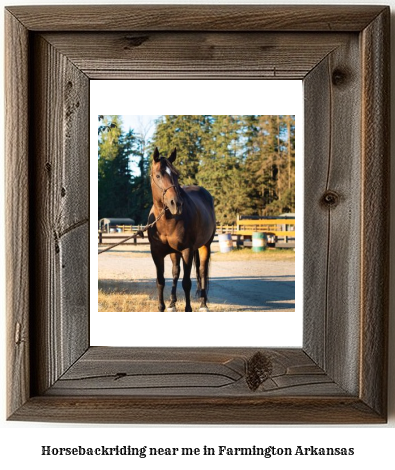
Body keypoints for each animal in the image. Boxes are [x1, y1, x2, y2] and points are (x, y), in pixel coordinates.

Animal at [148, 147, 217, 312]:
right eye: (158, 175)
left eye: (176, 174)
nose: (177, 204)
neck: (166, 221)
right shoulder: (156, 253)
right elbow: (161, 281)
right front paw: (161, 307)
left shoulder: (187, 250)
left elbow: (186, 282)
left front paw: (188, 308)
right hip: (174, 252)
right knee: (175, 272)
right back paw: (172, 303)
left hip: (205, 246)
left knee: (202, 271)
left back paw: (203, 304)